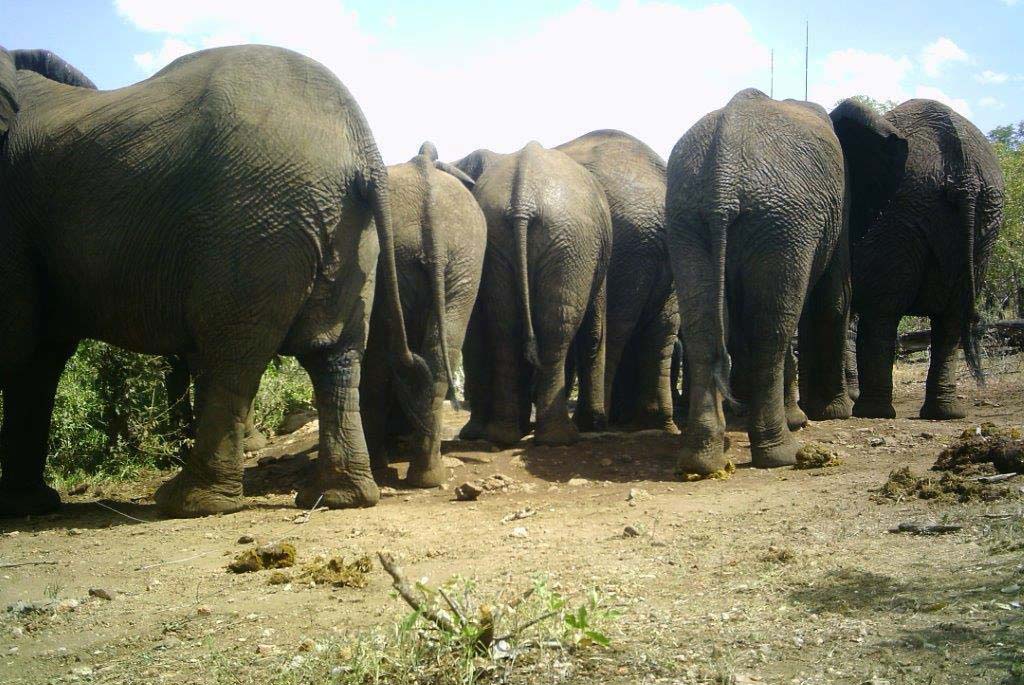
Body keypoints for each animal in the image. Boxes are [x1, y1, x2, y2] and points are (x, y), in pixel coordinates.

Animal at [0, 45, 432, 518]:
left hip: (251, 223)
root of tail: (363, 151)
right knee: (334, 357)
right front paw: (27, 506)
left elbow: (18, 342)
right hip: (345, 232)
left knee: (232, 356)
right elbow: (37, 355)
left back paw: (188, 502)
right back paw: (336, 497)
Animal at [360, 142, 486, 488]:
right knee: (438, 357)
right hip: (463, 260)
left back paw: (384, 470)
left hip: (404, 262)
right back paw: (427, 477)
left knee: (378, 357)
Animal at [456, 142, 612, 446]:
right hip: (571, 245)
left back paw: (503, 435)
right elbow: (594, 331)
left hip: (500, 239)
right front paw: (593, 424)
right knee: (556, 330)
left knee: (504, 326)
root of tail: (523, 197)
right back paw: (559, 437)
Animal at [666, 89, 851, 476]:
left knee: (704, 329)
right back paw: (782, 453)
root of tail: (724, 173)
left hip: (688, 216)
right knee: (773, 332)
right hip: (784, 224)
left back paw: (701, 462)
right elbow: (834, 296)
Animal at [830, 98, 1005, 420]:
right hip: (983, 220)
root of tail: (964, 176)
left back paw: (872, 411)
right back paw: (944, 413)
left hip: (899, 217)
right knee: (950, 319)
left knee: (882, 312)